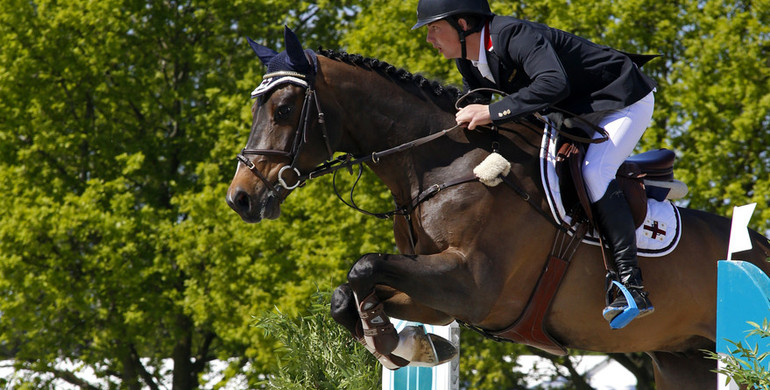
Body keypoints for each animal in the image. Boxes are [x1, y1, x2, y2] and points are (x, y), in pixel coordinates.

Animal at [225, 26, 768, 386]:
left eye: (283, 109)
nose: (240, 198)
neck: (440, 166)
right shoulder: (439, 291)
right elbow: (351, 292)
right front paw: (415, 345)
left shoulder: (474, 285)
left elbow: (363, 266)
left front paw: (395, 344)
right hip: (684, 359)